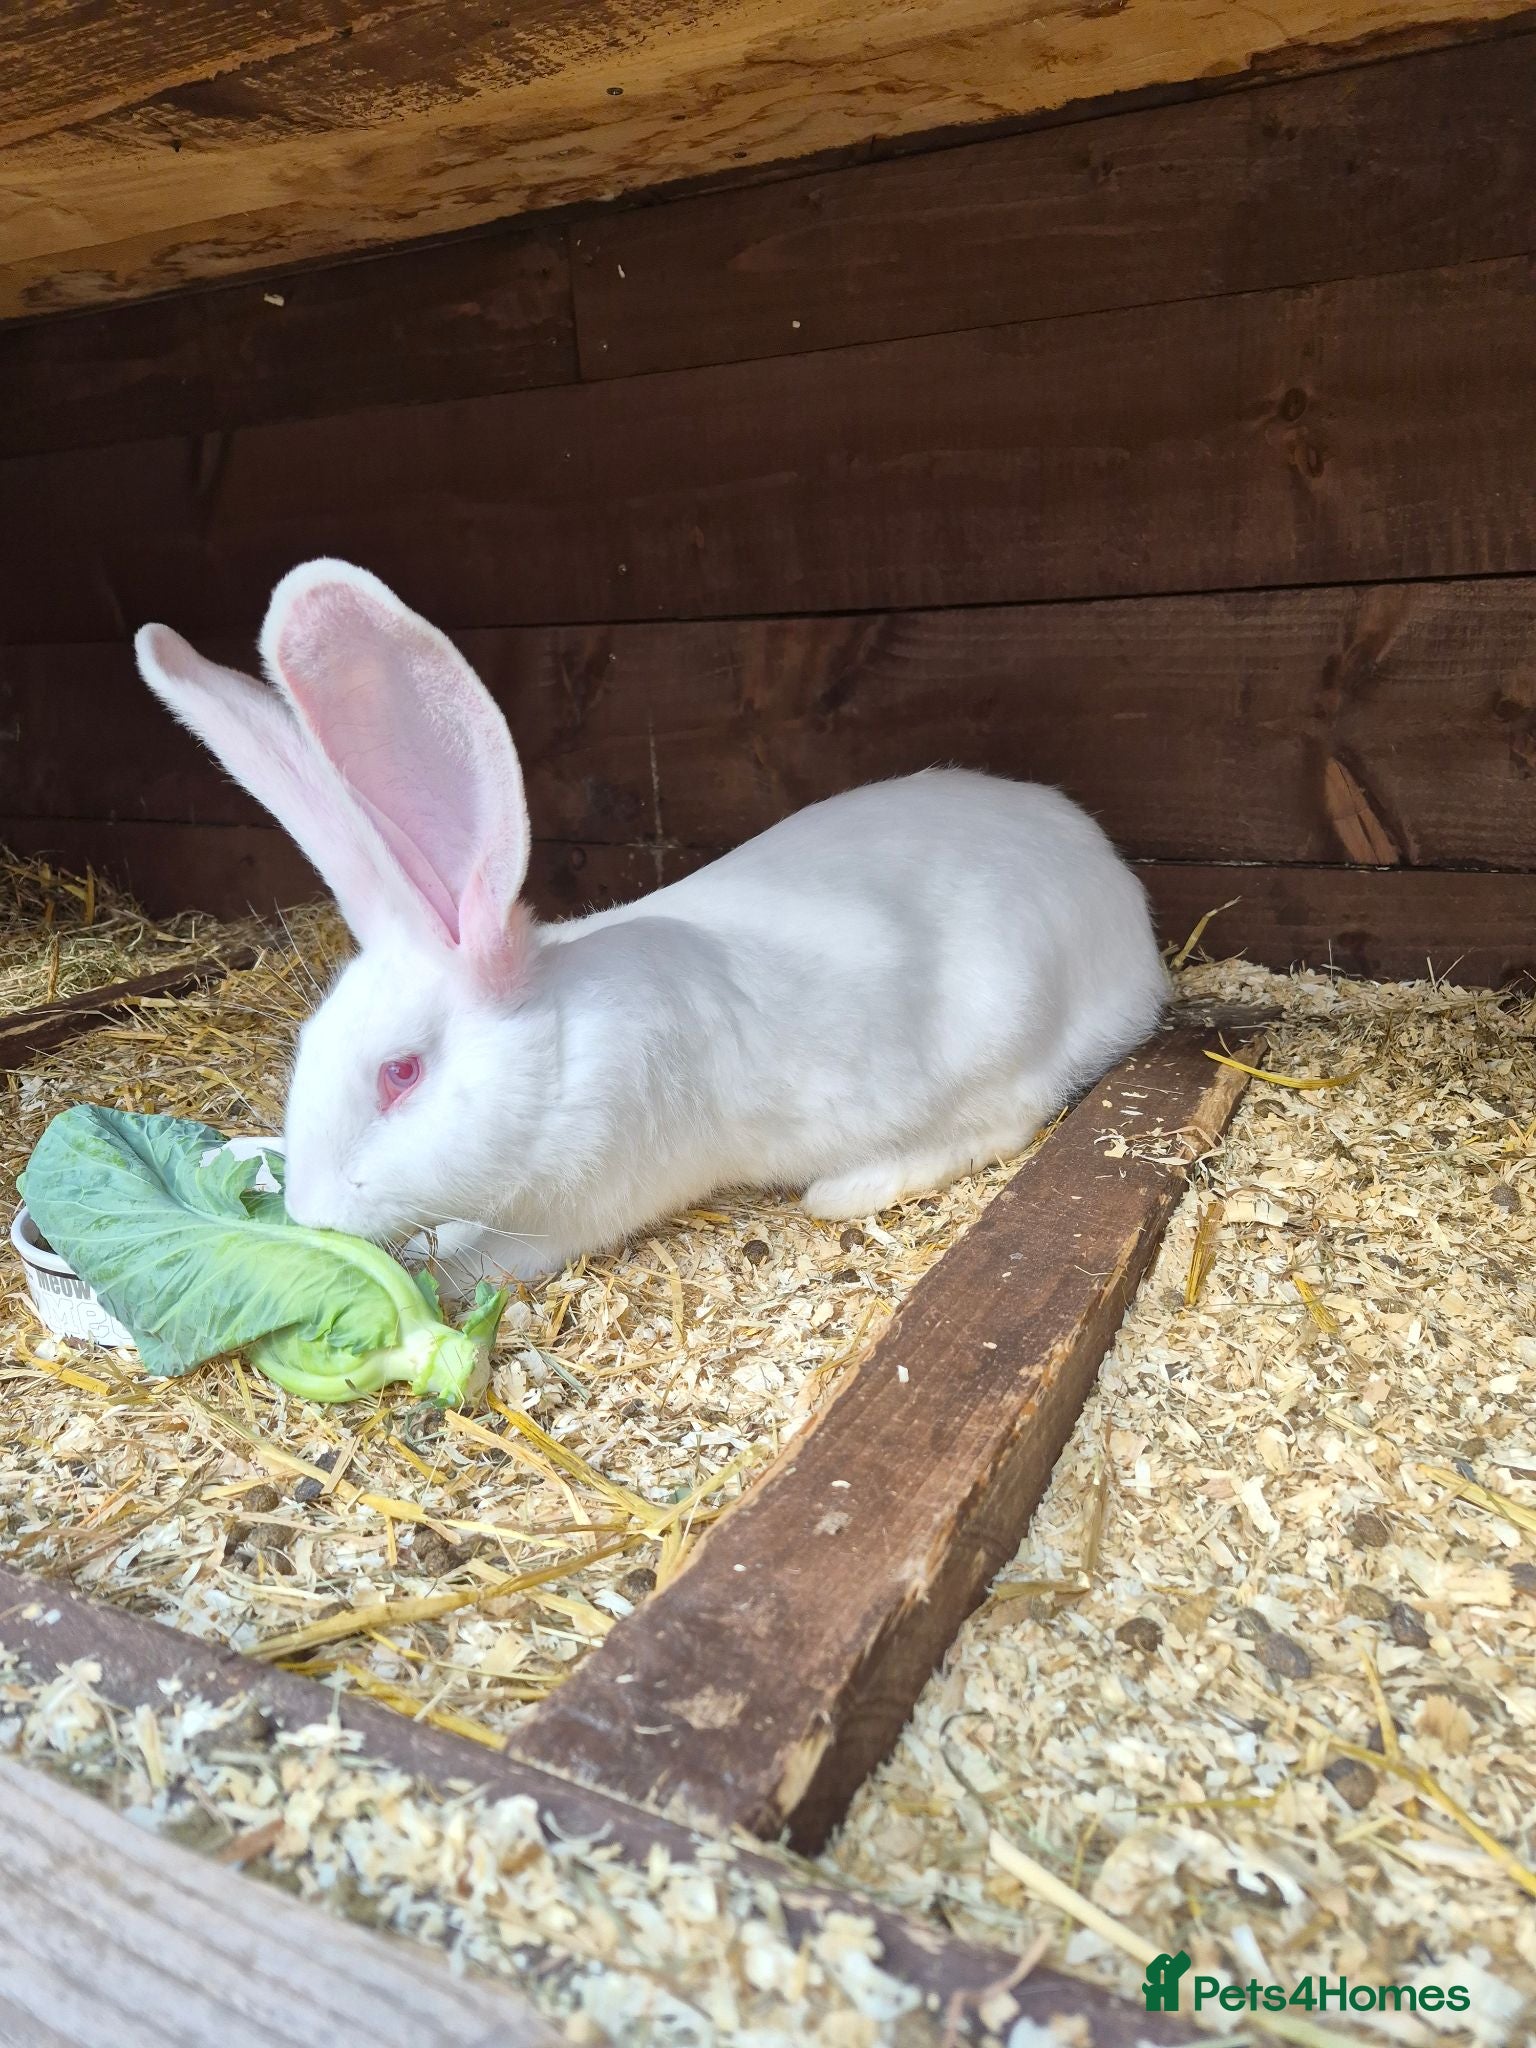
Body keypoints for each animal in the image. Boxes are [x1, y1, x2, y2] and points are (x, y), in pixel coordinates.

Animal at [134, 560, 1168, 1283]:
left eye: (401, 1075)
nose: (310, 1217)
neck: (554, 1045)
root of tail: (1123, 909)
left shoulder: (575, 1205)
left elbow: (489, 1261)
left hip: (1006, 1025)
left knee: (1008, 1119)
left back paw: (851, 1187)